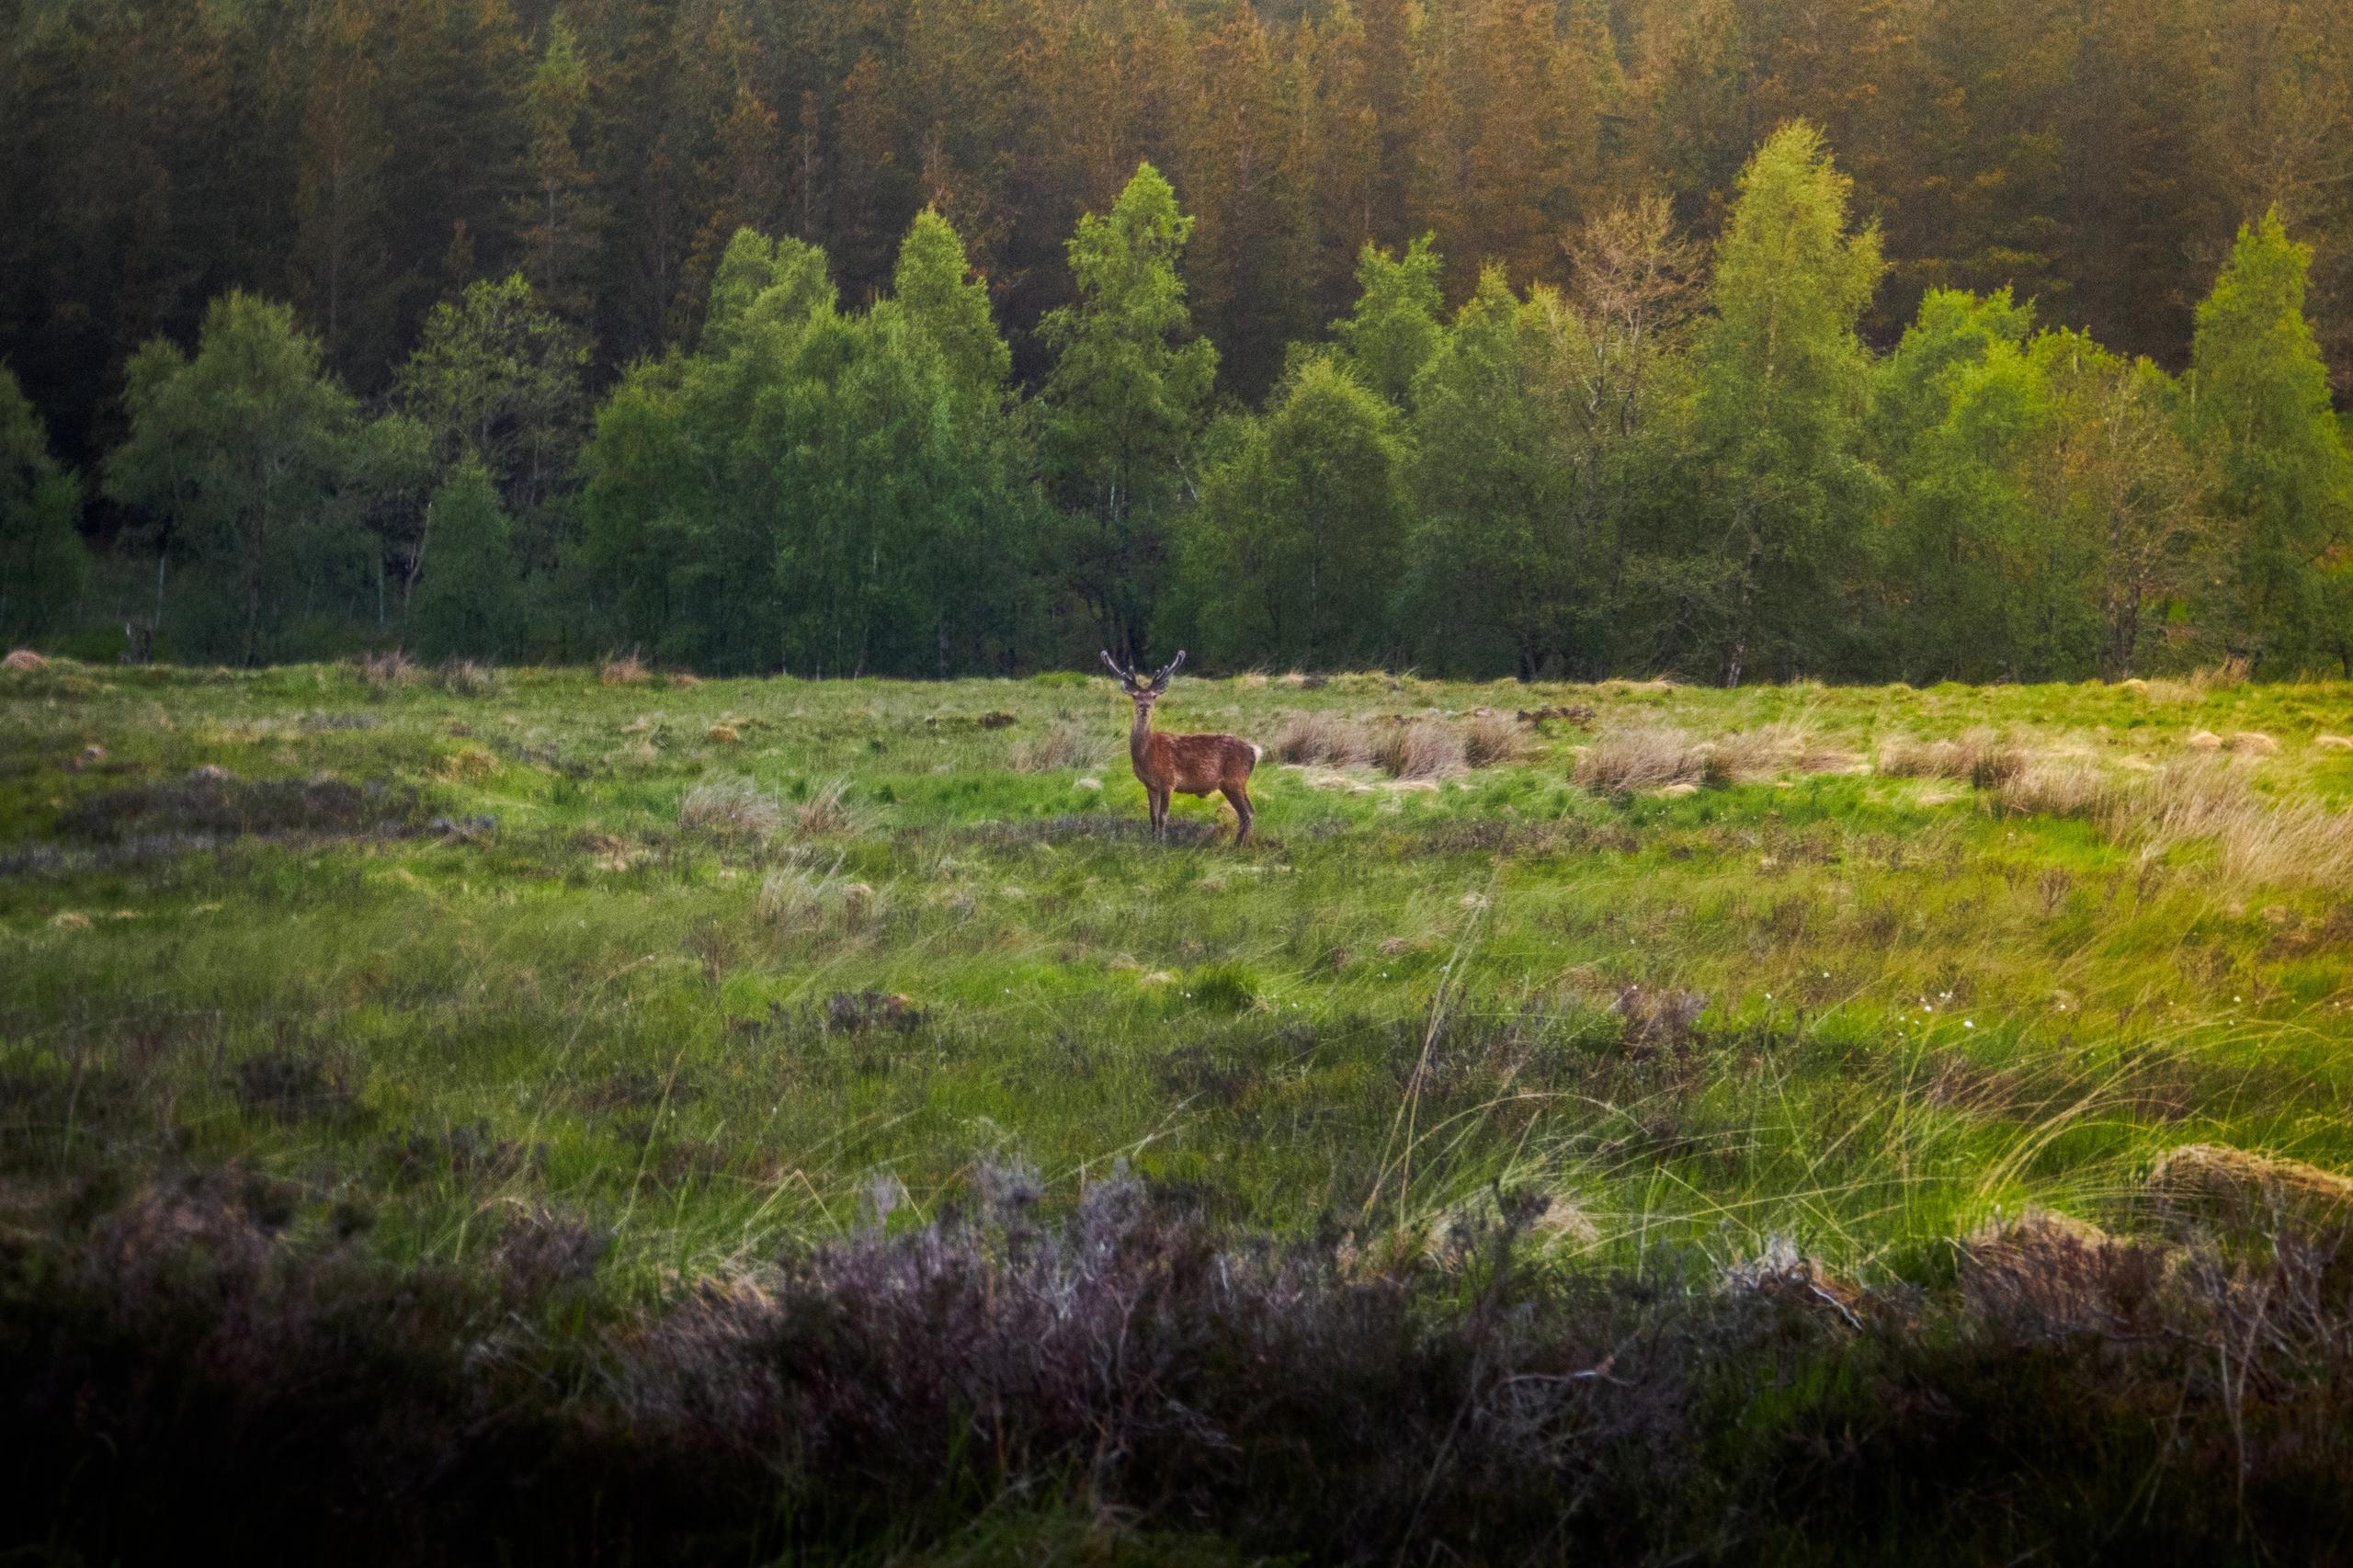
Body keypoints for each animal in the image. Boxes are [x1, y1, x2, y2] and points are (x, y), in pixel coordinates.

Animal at [1101, 649, 1261, 844]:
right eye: (1134, 695)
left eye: (1154, 696)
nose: (1144, 707)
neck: (1147, 756)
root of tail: (1255, 752)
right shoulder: (1150, 785)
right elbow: (1152, 816)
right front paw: (1152, 841)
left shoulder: (1168, 780)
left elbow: (1163, 816)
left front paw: (1161, 842)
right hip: (1232, 783)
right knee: (1246, 812)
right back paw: (1242, 843)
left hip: (1235, 779)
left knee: (1248, 812)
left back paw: (1240, 845)